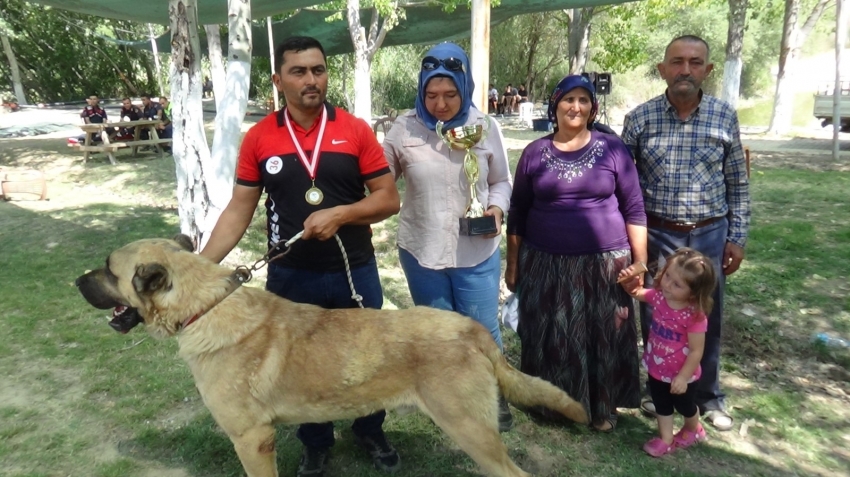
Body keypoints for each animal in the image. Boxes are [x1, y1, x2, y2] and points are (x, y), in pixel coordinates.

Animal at [76, 235, 588, 476]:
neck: (206, 306)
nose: (76, 281)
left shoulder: (251, 440)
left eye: (107, 269)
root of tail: (473, 329)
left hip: (470, 431)